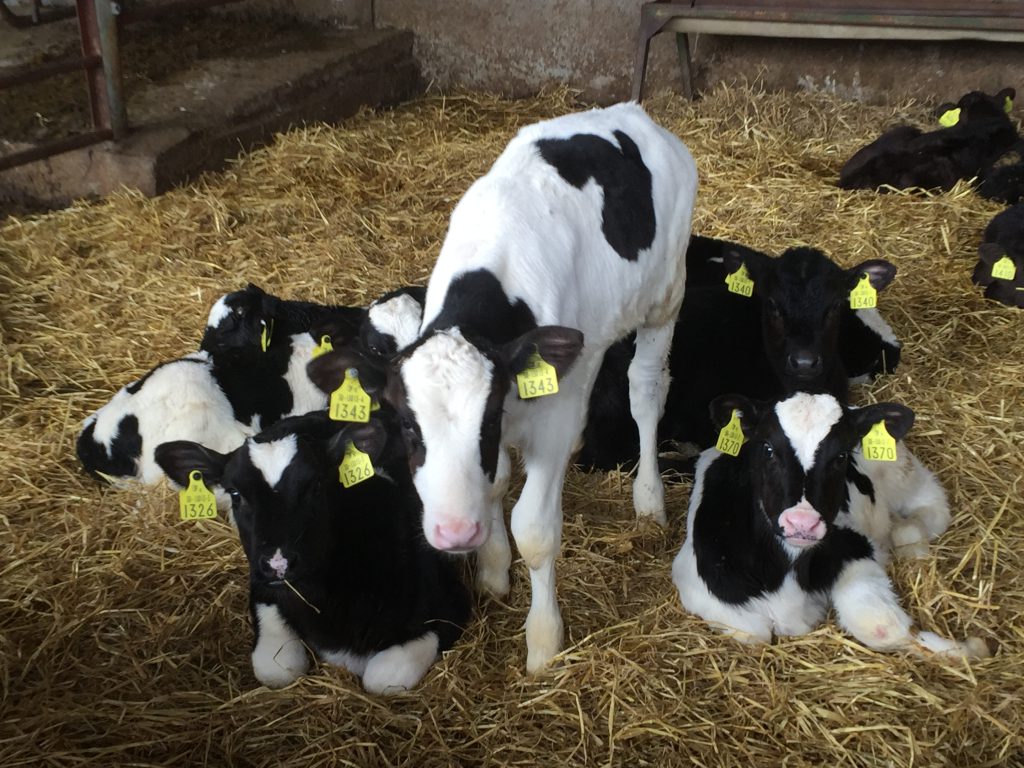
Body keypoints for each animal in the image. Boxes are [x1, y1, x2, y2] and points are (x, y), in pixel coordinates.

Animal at [154, 412, 471, 693]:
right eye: (235, 494)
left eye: (316, 485)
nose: (278, 563)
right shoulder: (262, 589)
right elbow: (278, 668)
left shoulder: (449, 605)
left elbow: (382, 677)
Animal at [308, 102, 698, 671]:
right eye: (407, 426)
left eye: (487, 418)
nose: (455, 533)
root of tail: (630, 113)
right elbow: (494, 485)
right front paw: (492, 567)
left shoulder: (551, 416)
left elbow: (534, 529)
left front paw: (543, 639)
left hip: (665, 296)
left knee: (645, 392)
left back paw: (648, 498)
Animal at [671, 391, 989, 658]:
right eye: (768, 448)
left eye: (841, 456)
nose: (802, 522)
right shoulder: (701, 587)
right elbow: (754, 634)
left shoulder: (852, 546)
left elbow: (880, 625)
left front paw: (966, 650)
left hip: (903, 474)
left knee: (929, 510)